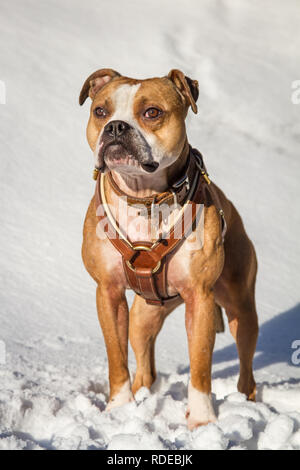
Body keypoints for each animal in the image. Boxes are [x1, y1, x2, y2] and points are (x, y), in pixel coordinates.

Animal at [79, 67, 258, 430]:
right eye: (100, 111)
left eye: (152, 113)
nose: (115, 127)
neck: (144, 199)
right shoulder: (108, 292)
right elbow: (116, 357)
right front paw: (118, 408)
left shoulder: (200, 298)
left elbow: (200, 363)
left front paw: (202, 420)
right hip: (143, 317)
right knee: (144, 365)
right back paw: (140, 399)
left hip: (241, 309)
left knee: (247, 370)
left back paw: (245, 403)